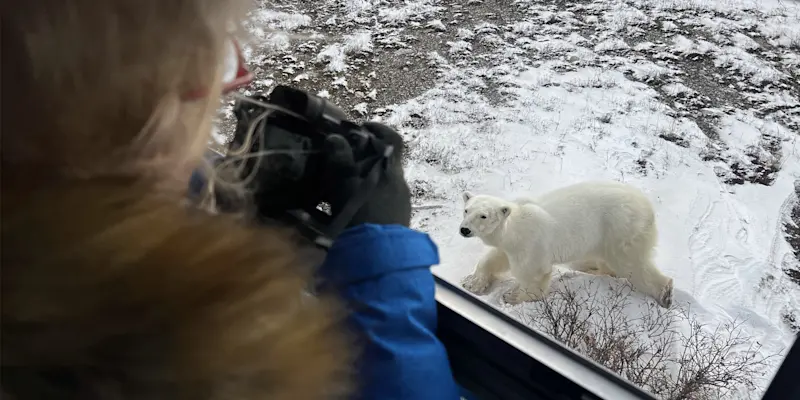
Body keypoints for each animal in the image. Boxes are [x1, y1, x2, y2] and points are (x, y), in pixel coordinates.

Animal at [458, 180, 673, 308]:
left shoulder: (531, 244)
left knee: (632, 265)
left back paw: (665, 293)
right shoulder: (511, 245)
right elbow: (495, 258)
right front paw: (471, 283)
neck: (515, 226)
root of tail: (649, 209)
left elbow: (533, 275)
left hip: (620, 230)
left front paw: (511, 297)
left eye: (483, 216)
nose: (464, 230)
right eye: (466, 210)